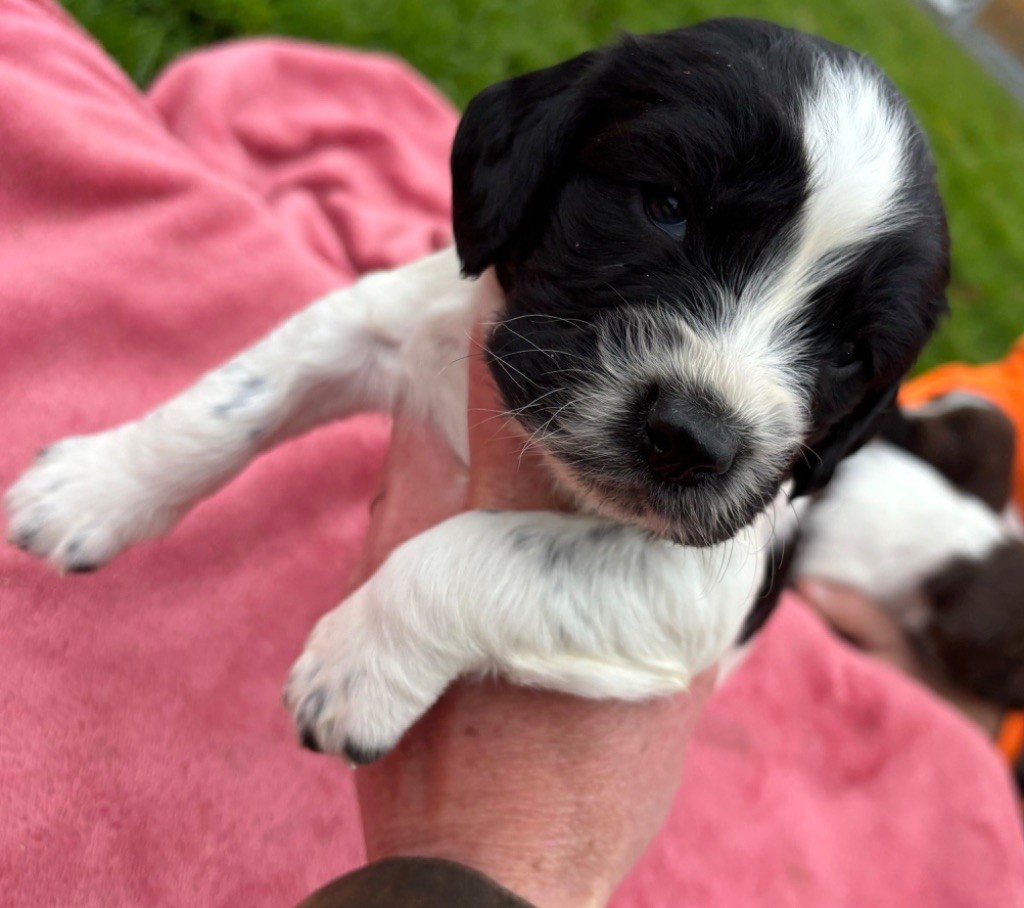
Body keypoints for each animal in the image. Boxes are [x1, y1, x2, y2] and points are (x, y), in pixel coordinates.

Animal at [0, 17, 946, 761]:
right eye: (667, 207)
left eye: (848, 351)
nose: (691, 438)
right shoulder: (394, 319)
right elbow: (230, 401)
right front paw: (91, 487)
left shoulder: (704, 581)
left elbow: (488, 549)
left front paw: (353, 669)